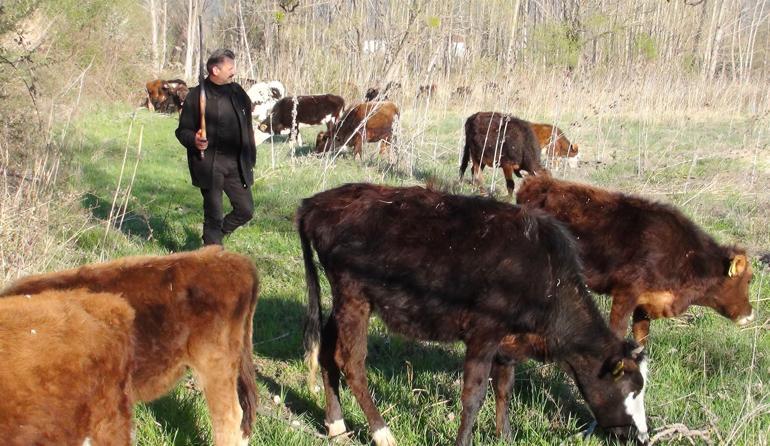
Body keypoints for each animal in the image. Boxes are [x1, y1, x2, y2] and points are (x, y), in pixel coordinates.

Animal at [298, 181, 648, 446]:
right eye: (631, 390)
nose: (642, 437)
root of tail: (318, 201)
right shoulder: (484, 332)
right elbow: (474, 395)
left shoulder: (508, 342)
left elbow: (504, 388)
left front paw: (505, 437)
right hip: (353, 296)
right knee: (351, 363)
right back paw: (382, 433)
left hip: (344, 300)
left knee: (327, 352)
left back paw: (336, 425)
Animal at [512, 176, 752, 344]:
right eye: (749, 279)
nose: (750, 314)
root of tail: (536, 182)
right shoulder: (626, 291)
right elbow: (618, 333)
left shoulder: (646, 302)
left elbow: (641, 337)